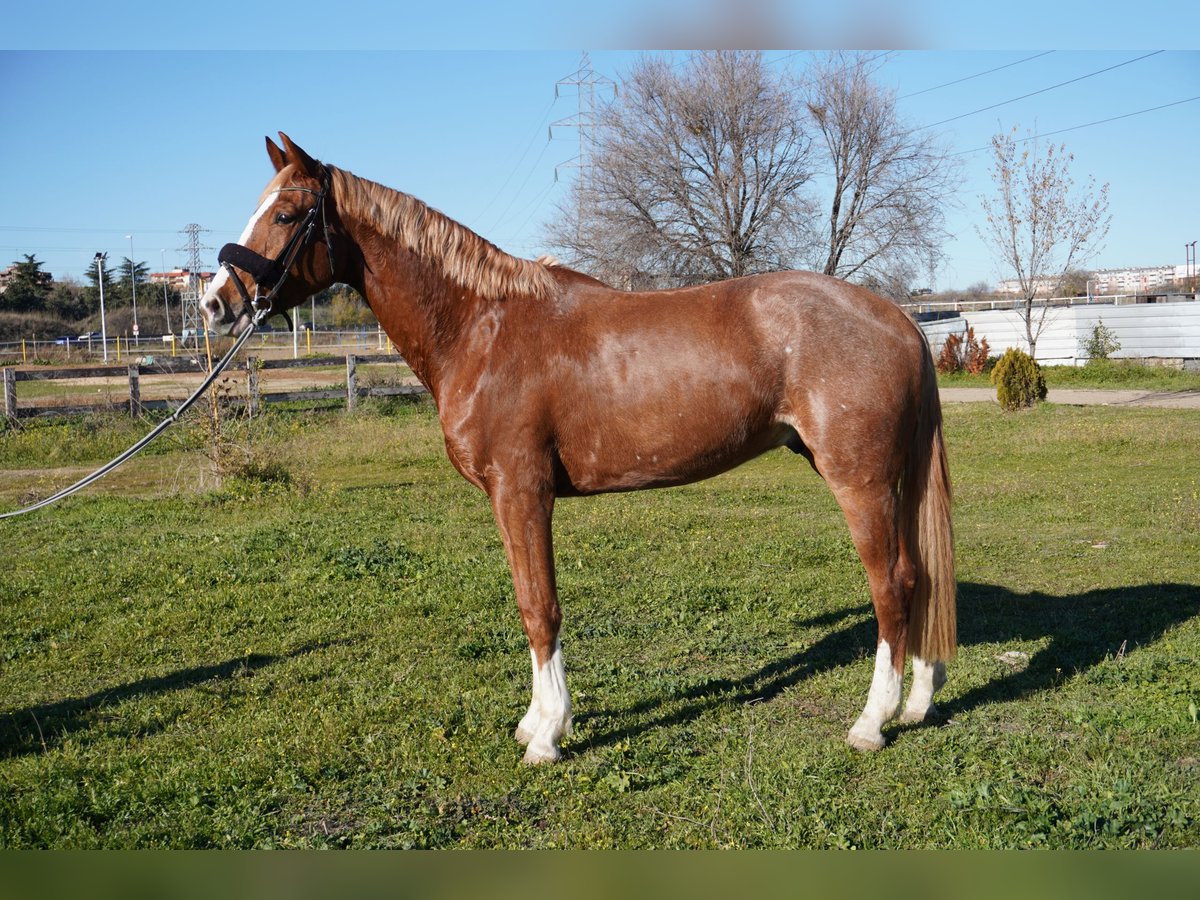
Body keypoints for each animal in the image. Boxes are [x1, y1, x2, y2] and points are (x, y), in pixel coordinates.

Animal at [204, 133, 955, 763]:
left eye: (285, 214)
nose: (215, 302)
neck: (483, 327)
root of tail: (897, 318)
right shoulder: (511, 499)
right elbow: (529, 603)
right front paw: (538, 722)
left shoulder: (522, 493)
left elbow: (541, 609)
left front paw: (548, 736)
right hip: (889, 483)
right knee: (920, 576)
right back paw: (918, 703)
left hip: (858, 482)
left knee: (893, 584)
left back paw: (872, 722)